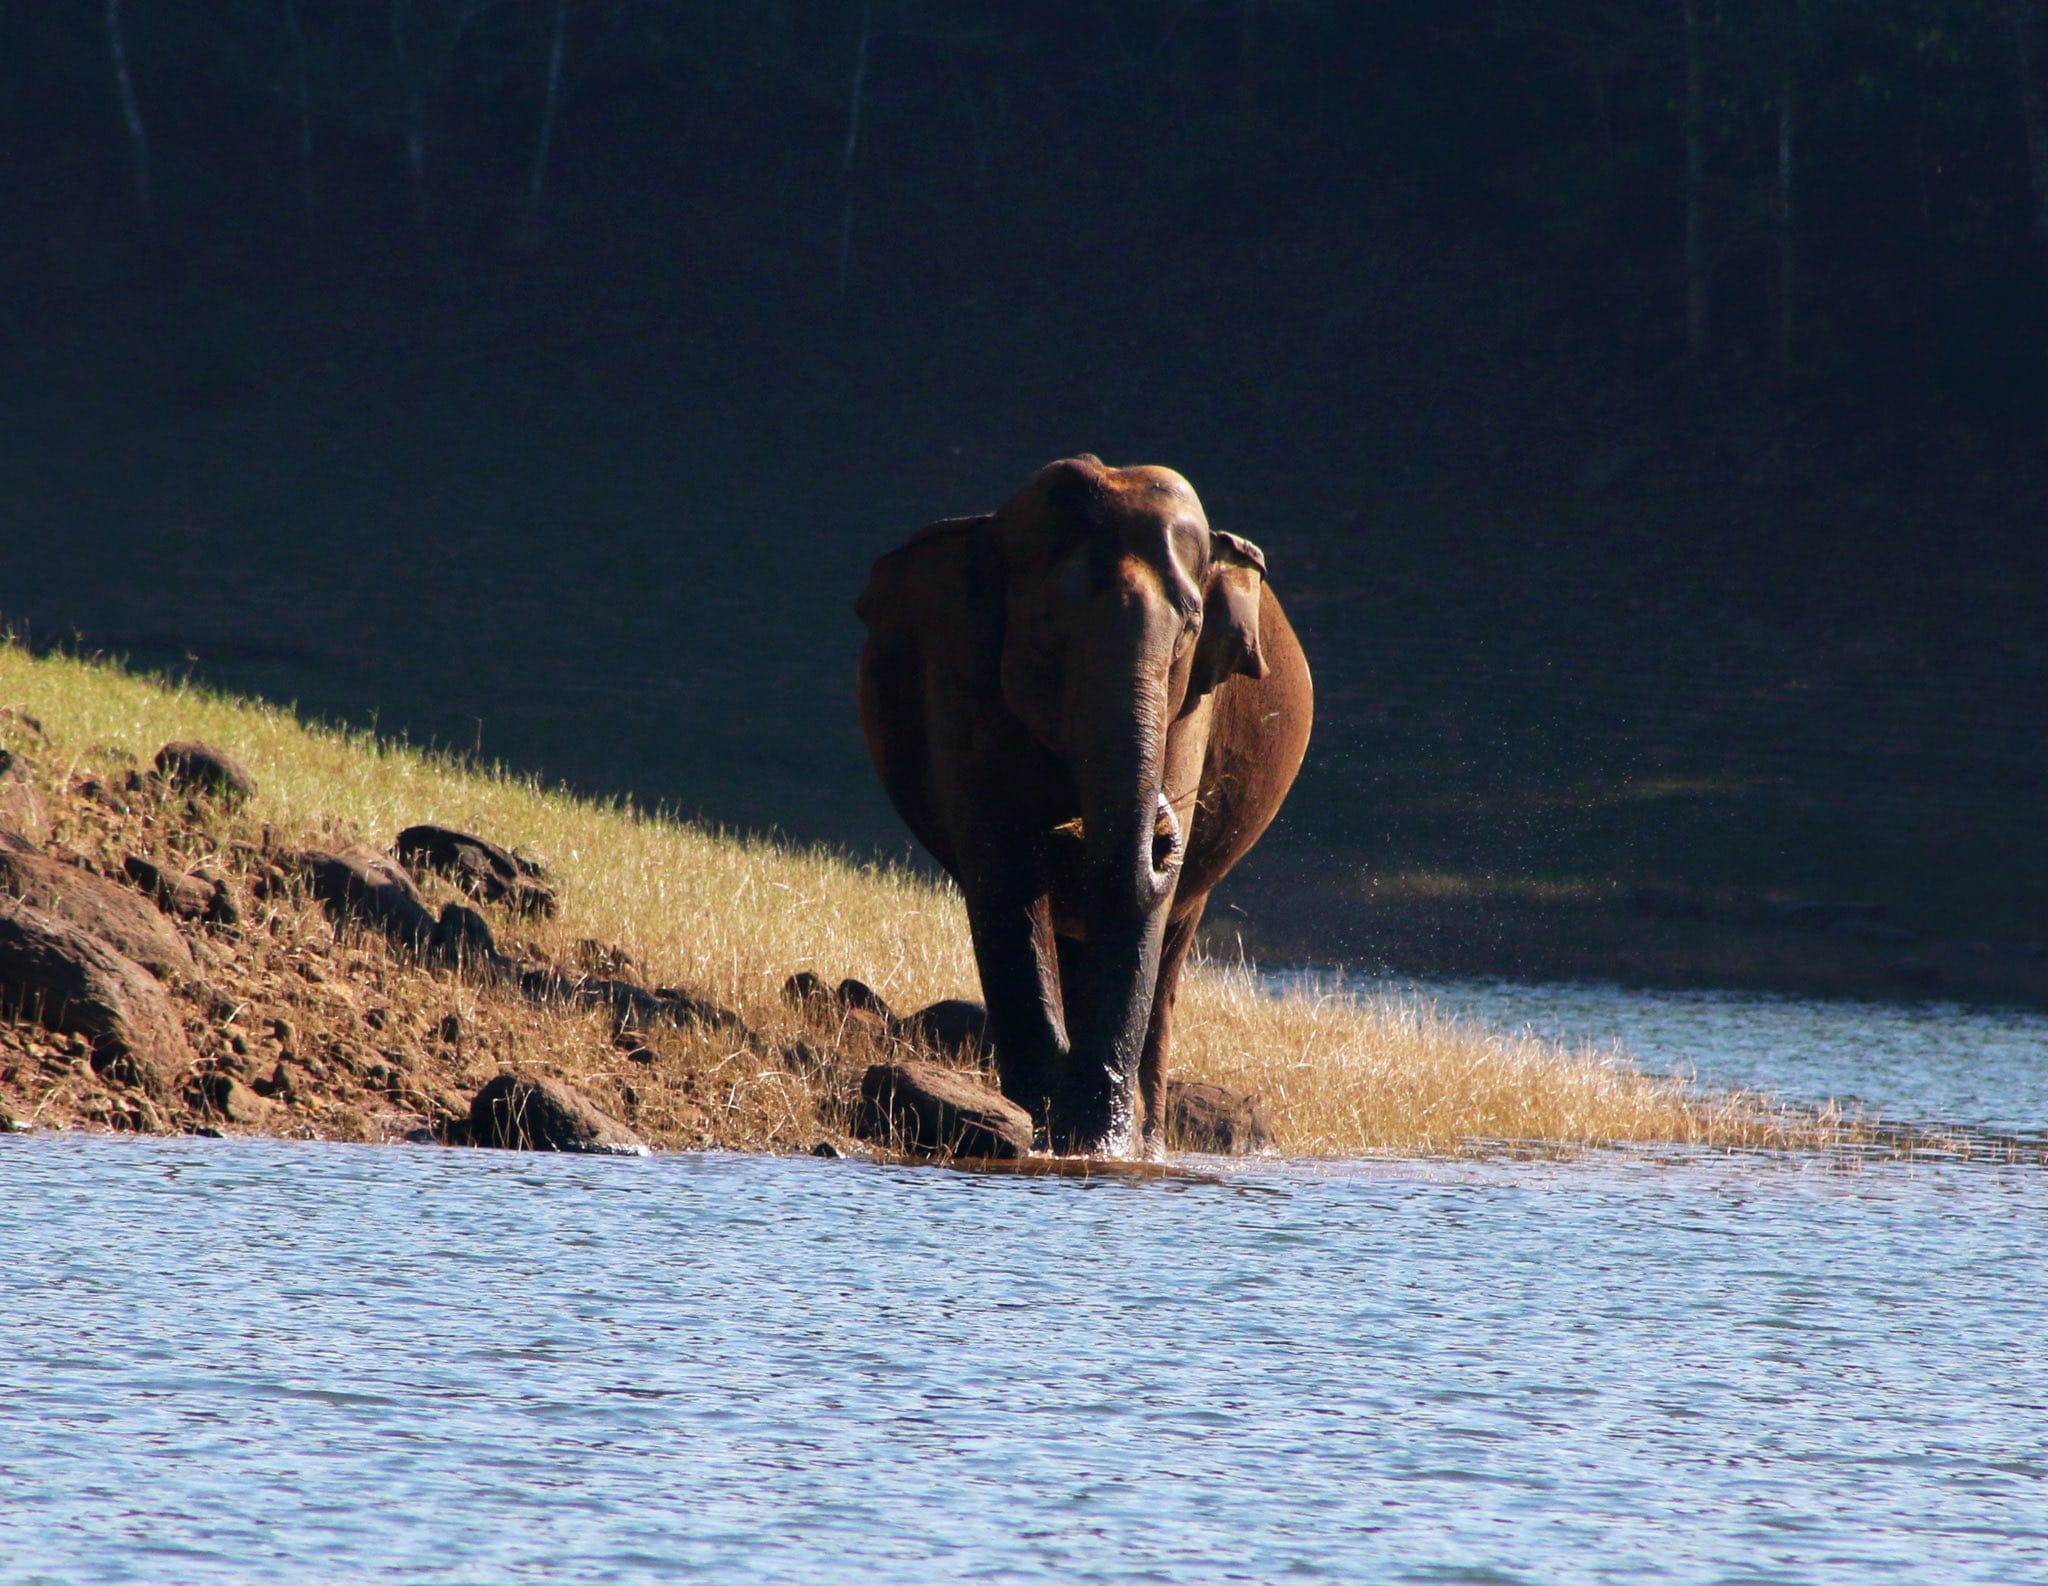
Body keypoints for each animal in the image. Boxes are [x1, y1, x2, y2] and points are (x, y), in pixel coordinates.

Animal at [851, 458, 1310, 1155]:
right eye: (1047, 626)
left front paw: (1100, 1145)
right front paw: (1049, 1130)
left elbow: (1141, 902)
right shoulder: (961, 684)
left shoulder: (1194, 704)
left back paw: (1148, 1136)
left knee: (1171, 947)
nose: (1162, 831)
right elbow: (1005, 869)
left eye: (1191, 627)